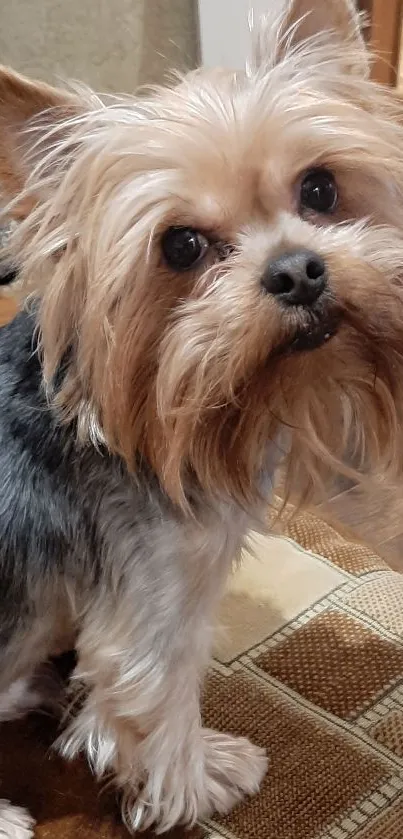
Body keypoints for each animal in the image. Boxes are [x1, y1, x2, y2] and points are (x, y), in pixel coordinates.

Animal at [3, 1, 403, 832]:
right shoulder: (156, 594)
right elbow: (160, 699)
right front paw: (205, 774)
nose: (297, 270)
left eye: (320, 188)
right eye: (180, 245)